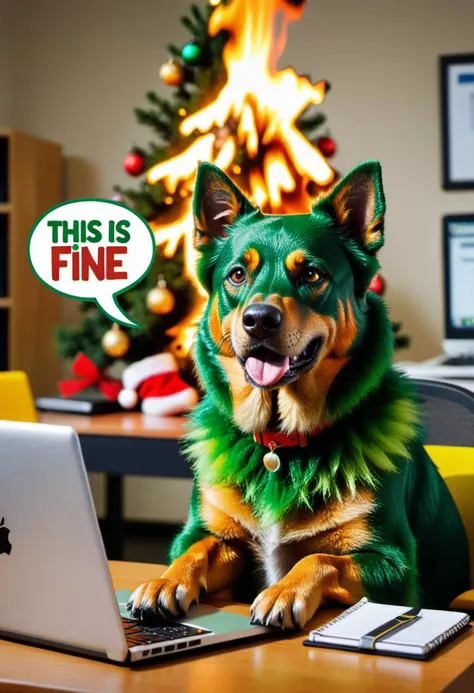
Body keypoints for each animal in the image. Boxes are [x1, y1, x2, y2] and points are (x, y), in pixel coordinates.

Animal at [127, 158, 470, 628]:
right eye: (238, 274)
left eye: (311, 274)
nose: (258, 320)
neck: (280, 443)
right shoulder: (208, 534)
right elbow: (196, 549)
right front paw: (164, 581)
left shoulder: (393, 565)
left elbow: (319, 558)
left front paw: (283, 592)